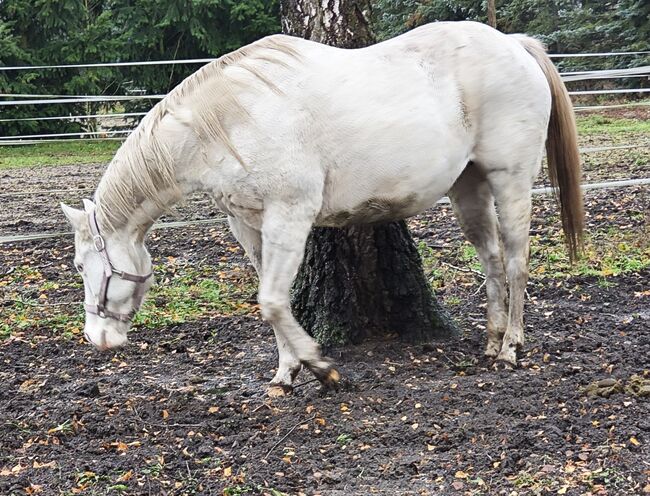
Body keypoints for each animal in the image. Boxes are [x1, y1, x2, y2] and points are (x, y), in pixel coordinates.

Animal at [60, 21, 584, 396]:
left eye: (84, 265)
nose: (97, 338)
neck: (228, 119)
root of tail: (513, 44)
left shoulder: (290, 217)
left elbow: (272, 301)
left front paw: (322, 369)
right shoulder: (249, 226)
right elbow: (273, 300)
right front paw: (286, 372)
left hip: (510, 180)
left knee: (515, 262)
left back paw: (511, 348)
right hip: (468, 187)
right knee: (492, 260)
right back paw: (492, 341)